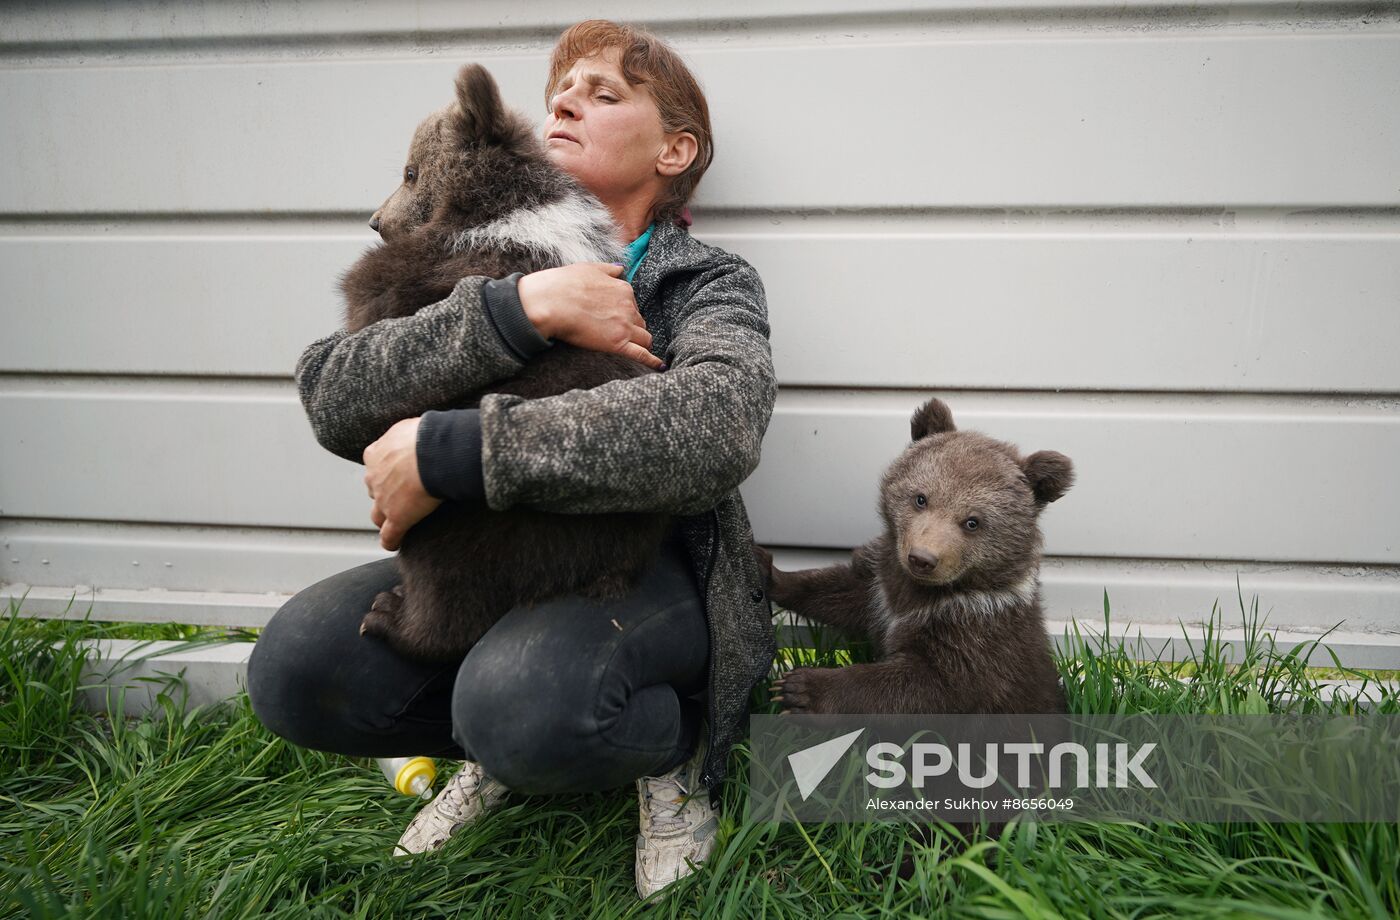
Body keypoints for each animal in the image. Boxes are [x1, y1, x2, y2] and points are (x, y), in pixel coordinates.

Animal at [341, 62, 672, 664]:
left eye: (409, 171)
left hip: (469, 519)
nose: (376, 220)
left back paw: (390, 617)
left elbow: (371, 306)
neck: (502, 208)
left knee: (448, 579)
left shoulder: (418, 276)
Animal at [753, 397, 1071, 715]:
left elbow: (926, 686)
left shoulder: (976, 631)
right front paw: (768, 570)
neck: (922, 596)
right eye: (921, 498)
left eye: (973, 522)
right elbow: (839, 591)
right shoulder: (881, 587)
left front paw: (800, 688)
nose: (922, 558)